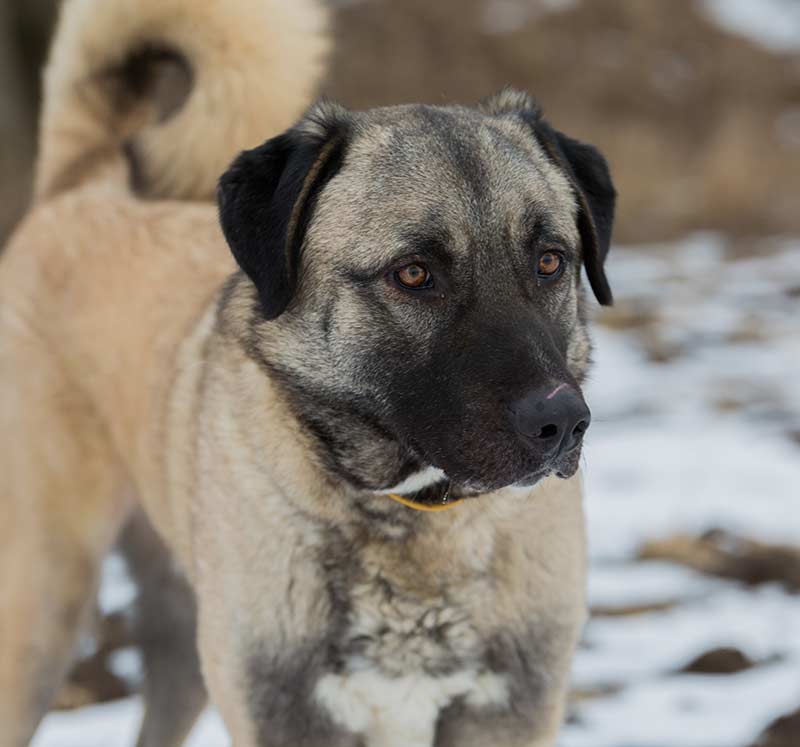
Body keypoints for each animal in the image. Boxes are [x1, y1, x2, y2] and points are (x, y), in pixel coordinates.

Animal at [0, 1, 616, 747]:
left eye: (551, 260)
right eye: (414, 273)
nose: (561, 422)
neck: (411, 520)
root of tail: (84, 187)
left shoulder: (510, 712)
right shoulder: (284, 713)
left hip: (178, 642)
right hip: (40, 612)